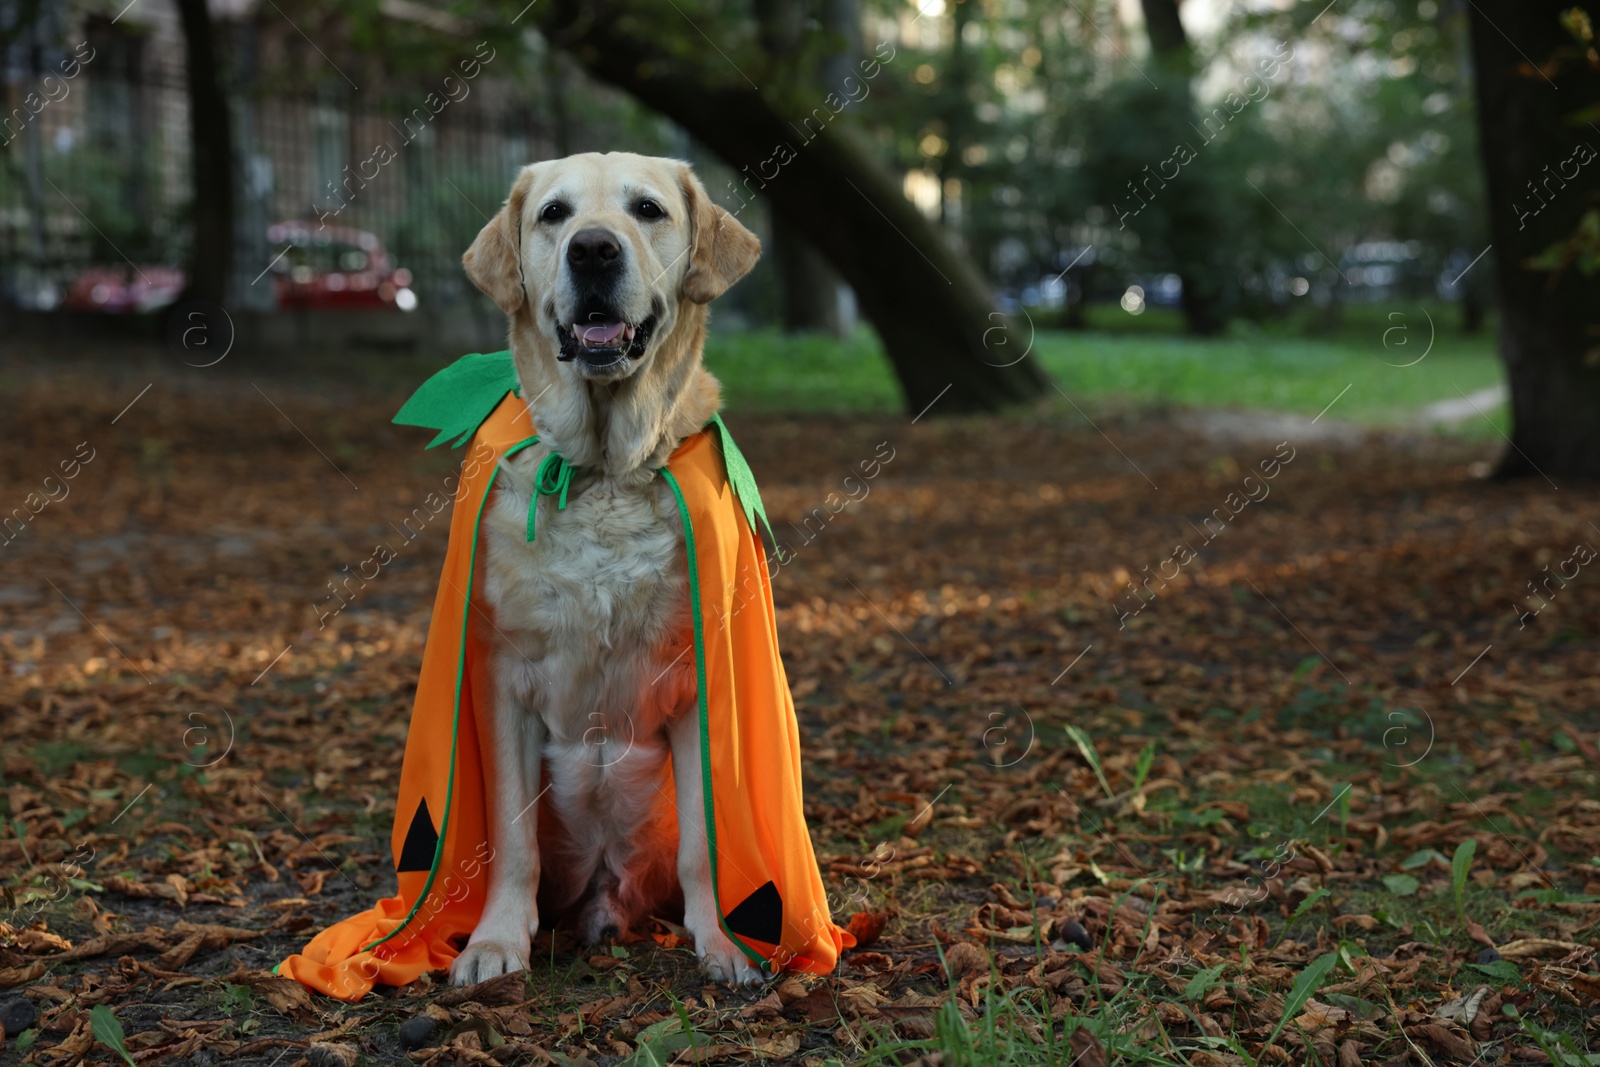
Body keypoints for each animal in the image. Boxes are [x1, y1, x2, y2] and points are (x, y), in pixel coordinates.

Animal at [448, 151, 764, 985]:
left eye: (647, 209)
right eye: (553, 214)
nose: (593, 248)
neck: (604, 472)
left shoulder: (698, 682)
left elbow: (704, 845)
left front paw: (723, 943)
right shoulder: (502, 677)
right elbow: (511, 839)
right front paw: (495, 940)